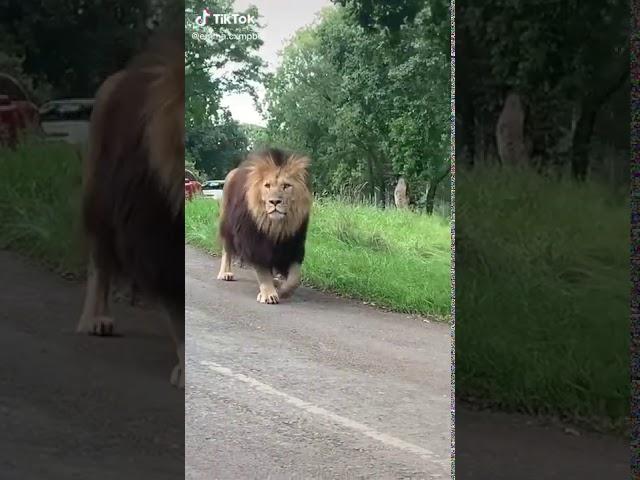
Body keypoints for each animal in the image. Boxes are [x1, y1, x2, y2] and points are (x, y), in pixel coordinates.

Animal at [76, 31, 185, 388]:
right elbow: (178, 312)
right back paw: (95, 319)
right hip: (98, 200)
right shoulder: (155, 239)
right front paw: (184, 370)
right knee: (99, 262)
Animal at [218, 148, 312, 304]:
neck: (275, 225)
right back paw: (225, 273)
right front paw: (269, 294)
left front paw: (283, 290)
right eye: (267, 185)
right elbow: (262, 271)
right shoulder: (255, 242)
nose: (275, 202)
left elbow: (295, 278)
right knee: (227, 249)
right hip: (227, 224)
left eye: (286, 186)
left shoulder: (294, 243)